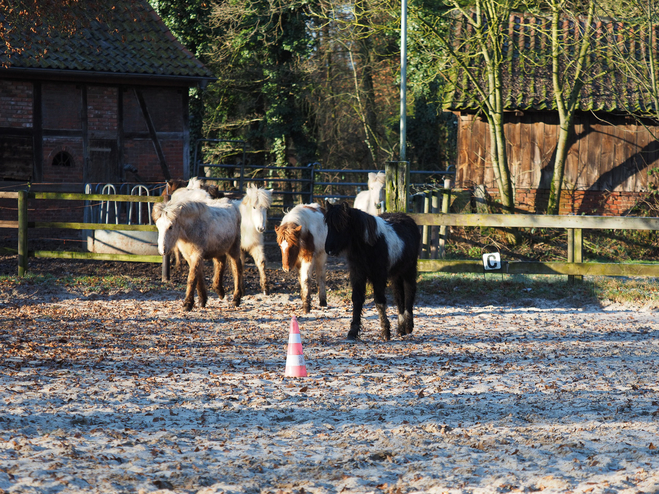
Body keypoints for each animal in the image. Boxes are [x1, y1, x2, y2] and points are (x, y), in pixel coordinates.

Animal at [324, 201, 422, 340]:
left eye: (342, 224)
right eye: (328, 224)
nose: (329, 250)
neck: (368, 244)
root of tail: (408, 219)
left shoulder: (379, 275)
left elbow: (379, 301)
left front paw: (385, 331)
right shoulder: (357, 274)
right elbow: (357, 299)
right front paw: (353, 331)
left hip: (409, 269)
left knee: (409, 291)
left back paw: (408, 326)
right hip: (396, 274)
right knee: (399, 296)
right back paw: (401, 329)